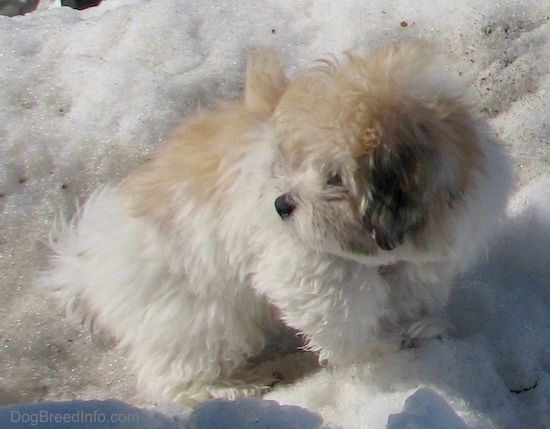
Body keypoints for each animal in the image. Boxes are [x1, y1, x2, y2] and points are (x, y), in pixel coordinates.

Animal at [41, 43, 516, 404]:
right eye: (298, 164)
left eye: (334, 178)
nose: (282, 204)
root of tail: (86, 264)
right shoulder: (308, 270)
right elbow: (345, 317)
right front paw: (381, 351)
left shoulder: (433, 255)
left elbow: (408, 290)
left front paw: (414, 328)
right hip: (193, 314)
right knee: (176, 375)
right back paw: (230, 387)